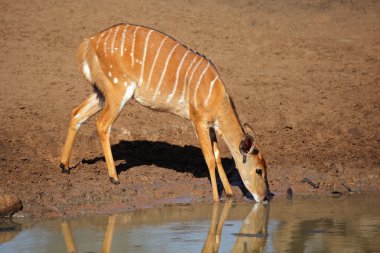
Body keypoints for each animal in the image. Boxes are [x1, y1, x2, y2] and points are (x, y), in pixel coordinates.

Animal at [60, 23, 270, 202]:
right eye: (259, 170)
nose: (265, 198)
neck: (216, 96)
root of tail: (89, 42)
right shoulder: (198, 120)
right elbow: (209, 158)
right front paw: (217, 199)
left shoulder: (210, 126)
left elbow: (217, 156)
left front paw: (229, 193)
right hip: (118, 90)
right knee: (102, 124)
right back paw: (114, 177)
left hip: (101, 92)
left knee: (76, 113)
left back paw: (64, 166)